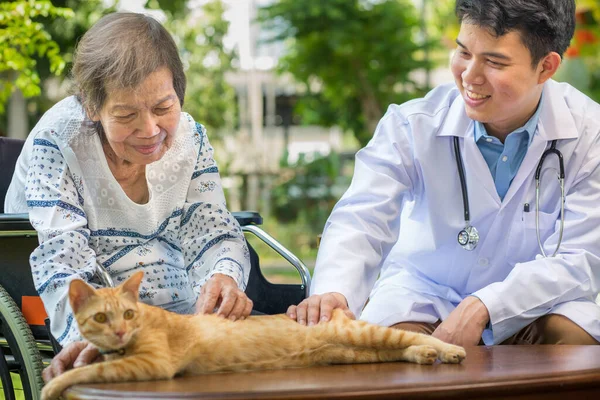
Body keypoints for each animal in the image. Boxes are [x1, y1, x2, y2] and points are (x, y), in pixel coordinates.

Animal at [41, 272, 468, 400]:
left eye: (129, 314)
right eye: (101, 317)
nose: (119, 330)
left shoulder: (153, 364)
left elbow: (85, 372)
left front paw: (53, 385)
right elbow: (95, 363)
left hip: (364, 333)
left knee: (417, 338)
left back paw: (450, 350)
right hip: (358, 353)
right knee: (399, 349)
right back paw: (423, 357)